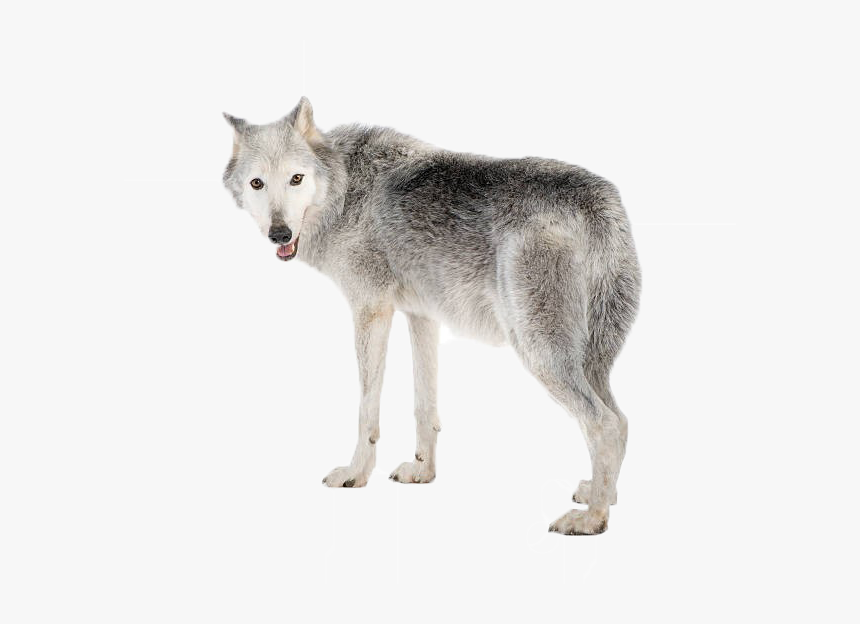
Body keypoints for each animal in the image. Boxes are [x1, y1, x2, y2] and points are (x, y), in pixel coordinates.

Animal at [221, 97, 641, 535]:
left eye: (296, 179)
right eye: (257, 183)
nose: (280, 234)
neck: (346, 189)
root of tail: (600, 202)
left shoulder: (371, 310)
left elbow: (367, 409)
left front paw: (356, 474)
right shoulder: (421, 315)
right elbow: (425, 406)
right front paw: (423, 471)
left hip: (539, 352)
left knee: (604, 424)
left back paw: (592, 518)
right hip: (588, 360)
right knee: (622, 419)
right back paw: (600, 493)